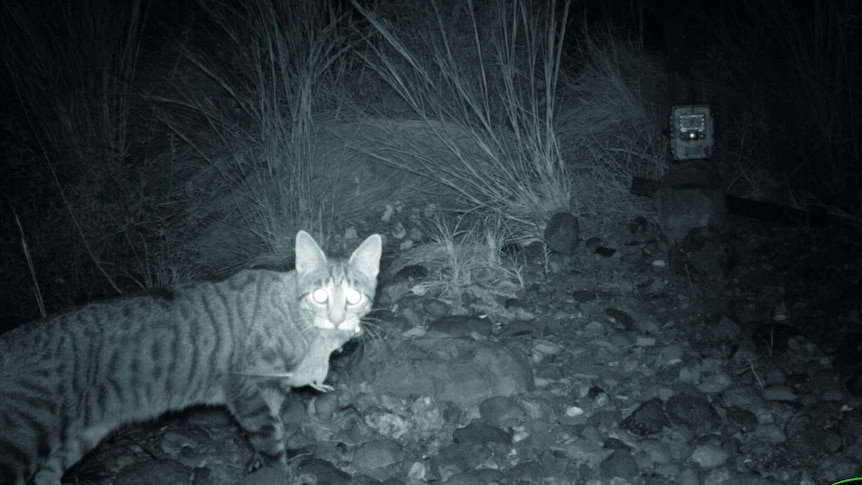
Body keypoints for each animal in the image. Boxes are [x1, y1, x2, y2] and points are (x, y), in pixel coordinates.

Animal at [0, 231, 384, 484]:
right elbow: (272, 443)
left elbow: (270, 435)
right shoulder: (247, 391)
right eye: (320, 295)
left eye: (353, 297)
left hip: (75, 438)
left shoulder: (271, 393)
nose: (338, 319)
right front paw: (282, 473)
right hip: (24, 436)